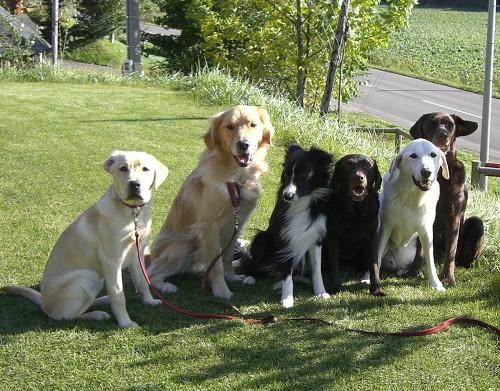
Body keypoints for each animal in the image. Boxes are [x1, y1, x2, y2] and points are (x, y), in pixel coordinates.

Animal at [0, 152, 170, 330]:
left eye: (145, 169)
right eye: (123, 168)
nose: (134, 184)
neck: (133, 213)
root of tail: (43, 302)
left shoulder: (138, 252)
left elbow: (143, 282)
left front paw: (150, 301)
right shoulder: (112, 261)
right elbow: (119, 295)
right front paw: (125, 322)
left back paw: (103, 300)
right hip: (86, 278)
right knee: (67, 316)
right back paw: (98, 314)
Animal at [372, 139, 450, 296]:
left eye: (433, 155)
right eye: (413, 156)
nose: (427, 172)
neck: (413, 197)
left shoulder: (426, 232)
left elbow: (430, 261)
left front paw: (436, 284)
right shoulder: (385, 227)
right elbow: (376, 258)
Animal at [410, 112, 484, 284]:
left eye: (450, 125)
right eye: (431, 123)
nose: (443, 135)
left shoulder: (453, 217)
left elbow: (451, 252)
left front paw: (448, 278)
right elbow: (420, 248)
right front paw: (415, 271)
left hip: (476, 223)